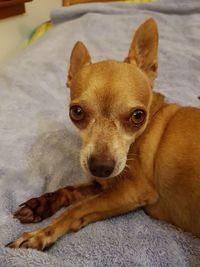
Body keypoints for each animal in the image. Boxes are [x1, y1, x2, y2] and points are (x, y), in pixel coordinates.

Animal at [6, 18, 200, 251]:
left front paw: (42, 233)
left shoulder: (134, 191)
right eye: (76, 112)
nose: (101, 167)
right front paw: (41, 205)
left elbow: (77, 208)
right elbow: (70, 190)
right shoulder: (103, 184)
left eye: (138, 116)